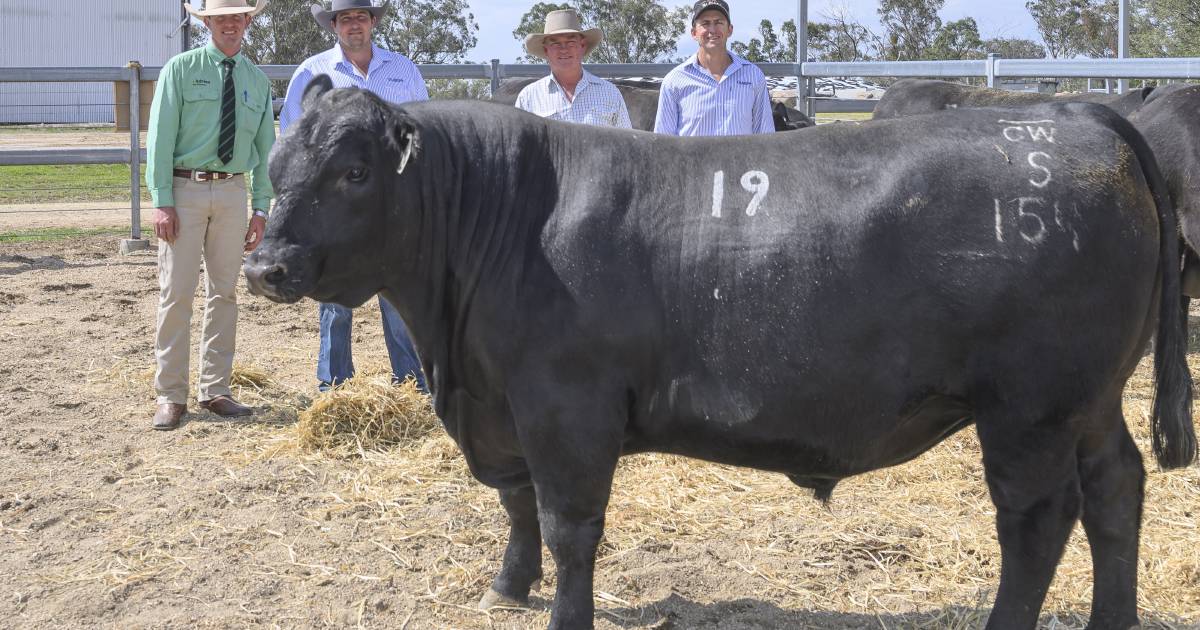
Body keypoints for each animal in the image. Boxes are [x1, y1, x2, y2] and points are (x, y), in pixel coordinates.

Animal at [241, 78, 1190, 628]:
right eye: (279, 163)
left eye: (354, 172)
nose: (263, 266)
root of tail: (1078, 115)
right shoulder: (502, 404)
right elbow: (515, 505)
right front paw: (507, 586)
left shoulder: (566, 409)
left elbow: (568, 524)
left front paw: (564, 614)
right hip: (1091, 400)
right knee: (1117, 492)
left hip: (1031, 409)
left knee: (1037, 521)